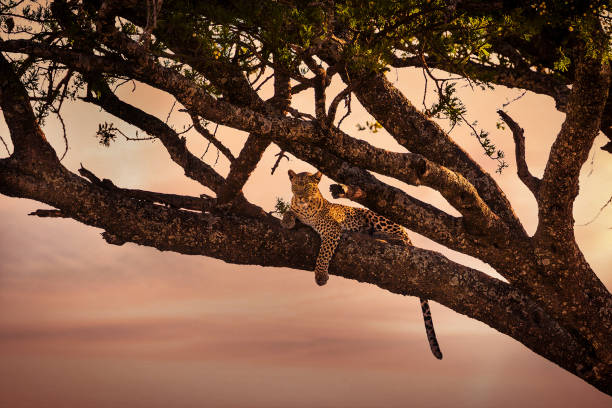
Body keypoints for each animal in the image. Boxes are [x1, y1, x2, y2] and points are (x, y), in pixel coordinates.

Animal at [280, 171, 442, 358]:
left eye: (307, 186)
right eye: (296, 185)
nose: (300, 196)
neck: (305, 209)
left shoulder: (332, 230)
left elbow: (324, 253)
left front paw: (320, 276)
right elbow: (289, 211)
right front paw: (287, 220)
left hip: (375, 217)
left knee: (401, 239)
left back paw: (385, 237)